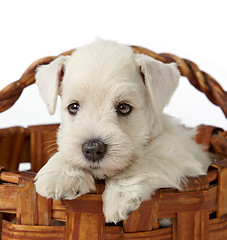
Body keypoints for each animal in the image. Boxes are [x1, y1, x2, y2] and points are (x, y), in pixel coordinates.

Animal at [34, 39, 210, 223]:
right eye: (73, 107)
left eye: (124, 107)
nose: (93, 149)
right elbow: (66, 153)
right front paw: (61, 175)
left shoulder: (180, 155)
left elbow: (144, 161)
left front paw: (118, 199)